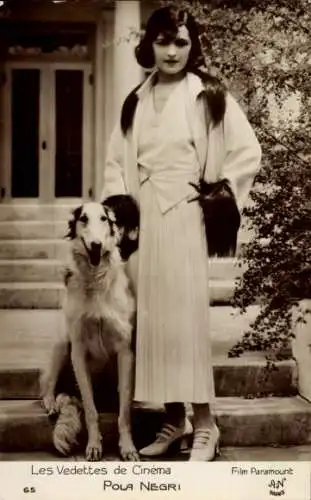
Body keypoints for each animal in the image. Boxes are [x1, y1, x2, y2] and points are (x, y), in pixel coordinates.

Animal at [40, 195, 140, 460]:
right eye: (83, 218)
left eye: (104, 218)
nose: (96, 245)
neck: (96, 279)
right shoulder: (78, 351)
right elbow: (91, 410)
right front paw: (94, 445)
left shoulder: (125, 350)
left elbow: (124, 411)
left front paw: (128, 447)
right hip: (62, 343)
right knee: (48, 384)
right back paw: (51, 402)